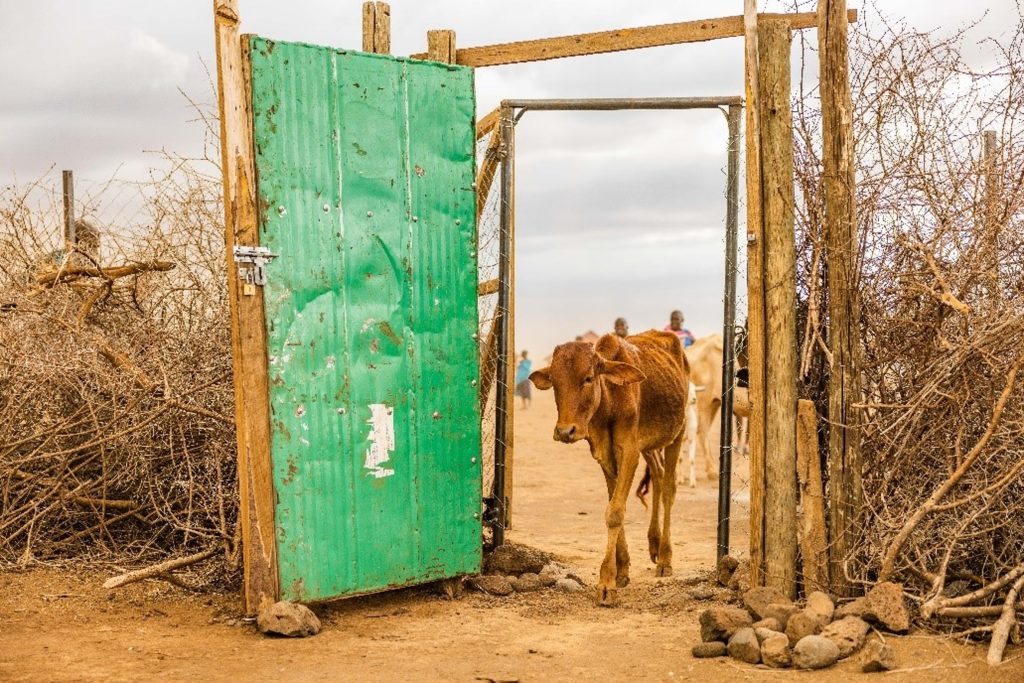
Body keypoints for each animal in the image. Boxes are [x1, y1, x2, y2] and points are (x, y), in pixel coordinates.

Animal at [529, 330, 689, 605]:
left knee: (669, 488)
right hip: (649, 446)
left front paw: (606, 584)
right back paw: (654, 543)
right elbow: (614, 502)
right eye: (555, 382)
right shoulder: (605, 454)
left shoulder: (629, 451)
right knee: (657, 476)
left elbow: (615, 512)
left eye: (588, 378)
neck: (609, 401)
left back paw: (665, 558)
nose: (565, 431)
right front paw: (621, 570)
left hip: (677, 432)